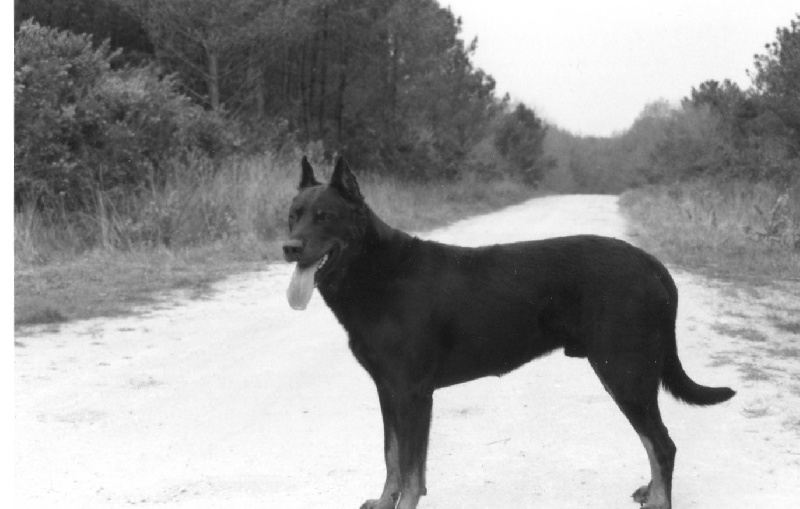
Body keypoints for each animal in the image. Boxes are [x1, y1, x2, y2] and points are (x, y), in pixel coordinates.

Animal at [282, 157, 732, 506]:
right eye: (292, 215)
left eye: (324, 217)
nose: (289, 247)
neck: (376, 273)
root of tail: (654, 266)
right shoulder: (388, 389)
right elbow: (392, 457)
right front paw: (383, 500)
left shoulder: (413, 393)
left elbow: (411, 469)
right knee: (655, 444)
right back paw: (650, 491)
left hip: (625, 373)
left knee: (662, 444)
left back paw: (658, 500)